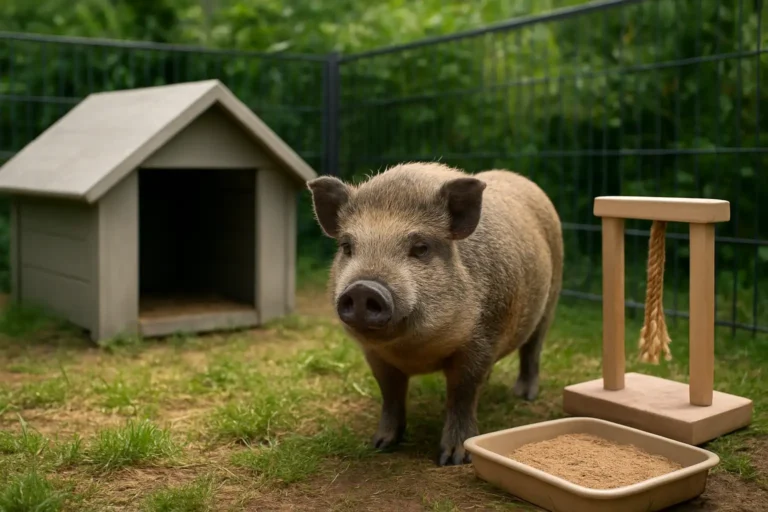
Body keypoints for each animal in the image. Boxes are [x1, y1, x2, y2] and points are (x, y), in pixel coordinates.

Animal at [306, 162, 563, 466]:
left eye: (421, 248)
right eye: (347, 246)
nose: (363, 288)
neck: (413, 351)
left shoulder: (481, 340)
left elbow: (462, 393)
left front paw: (452, 459)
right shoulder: (375, 355)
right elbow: (390, 393)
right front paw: (380, 444)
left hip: (551, 299)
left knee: (532, 349)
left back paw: (524, 395)